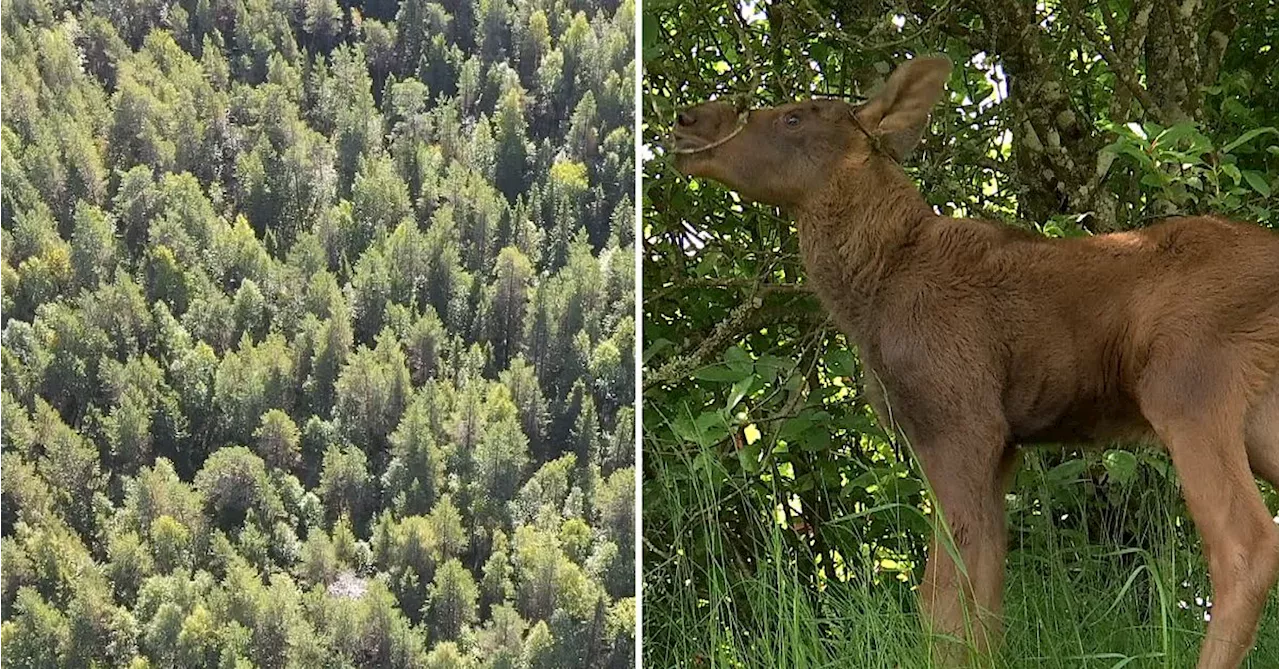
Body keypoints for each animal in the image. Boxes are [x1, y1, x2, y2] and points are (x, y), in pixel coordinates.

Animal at [670, 57, 1280, 669]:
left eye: (793, 117)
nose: (687, 118)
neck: (870, 292)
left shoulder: (960, 418)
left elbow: (942, 594)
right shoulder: (1003, 442)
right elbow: (984, 590)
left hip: (1186, 382)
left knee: (1246, 544)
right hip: (1257, 412)